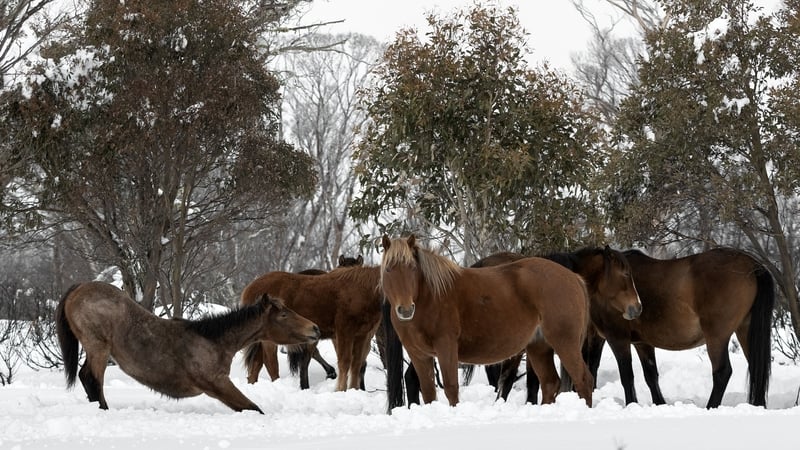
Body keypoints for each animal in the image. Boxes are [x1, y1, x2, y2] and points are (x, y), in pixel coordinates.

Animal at [55, 281, 320, 412]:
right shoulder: (217, 384)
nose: (315, 328)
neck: (214, 341)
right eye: (283, 315)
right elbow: (252, 408)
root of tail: (78, 289)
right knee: (92, 379)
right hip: (98, 347)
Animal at [241, 265, 382, 391]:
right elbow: (345, 361)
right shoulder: (344, 332)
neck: (363, 291)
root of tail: (249, 288)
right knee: (271, 364)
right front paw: (340, 389)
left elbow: (357, 363)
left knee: (256, 367)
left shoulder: (362, 334)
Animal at [380, 235, 595, 409]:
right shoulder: (419, 354)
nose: (405, 309)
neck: (430, 297)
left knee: (583, 379)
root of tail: (574, 278)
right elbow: (428, 392)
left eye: (412, 268)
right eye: (389, 269)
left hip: (564, 342)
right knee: (550, 383)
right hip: (539, 347)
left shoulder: (446, 346)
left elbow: (451, 387)